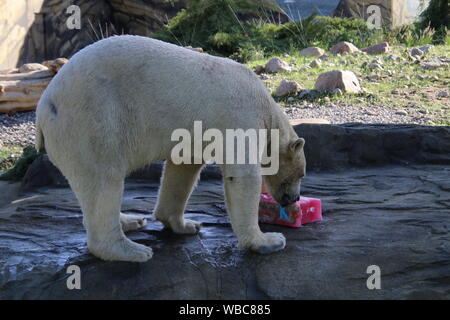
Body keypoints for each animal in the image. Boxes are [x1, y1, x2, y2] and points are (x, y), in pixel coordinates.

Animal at [36, 35, 306, 262]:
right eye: (299, 175)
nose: (294, 198)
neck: (267, 109)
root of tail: (44, 108)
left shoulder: (192, 134)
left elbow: (182, 169)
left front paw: (187, 224)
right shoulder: (242, 116)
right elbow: (242, 176)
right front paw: (268, 241)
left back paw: (131, 220)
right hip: (92, 121)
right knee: (103, 179)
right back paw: (133, 250)